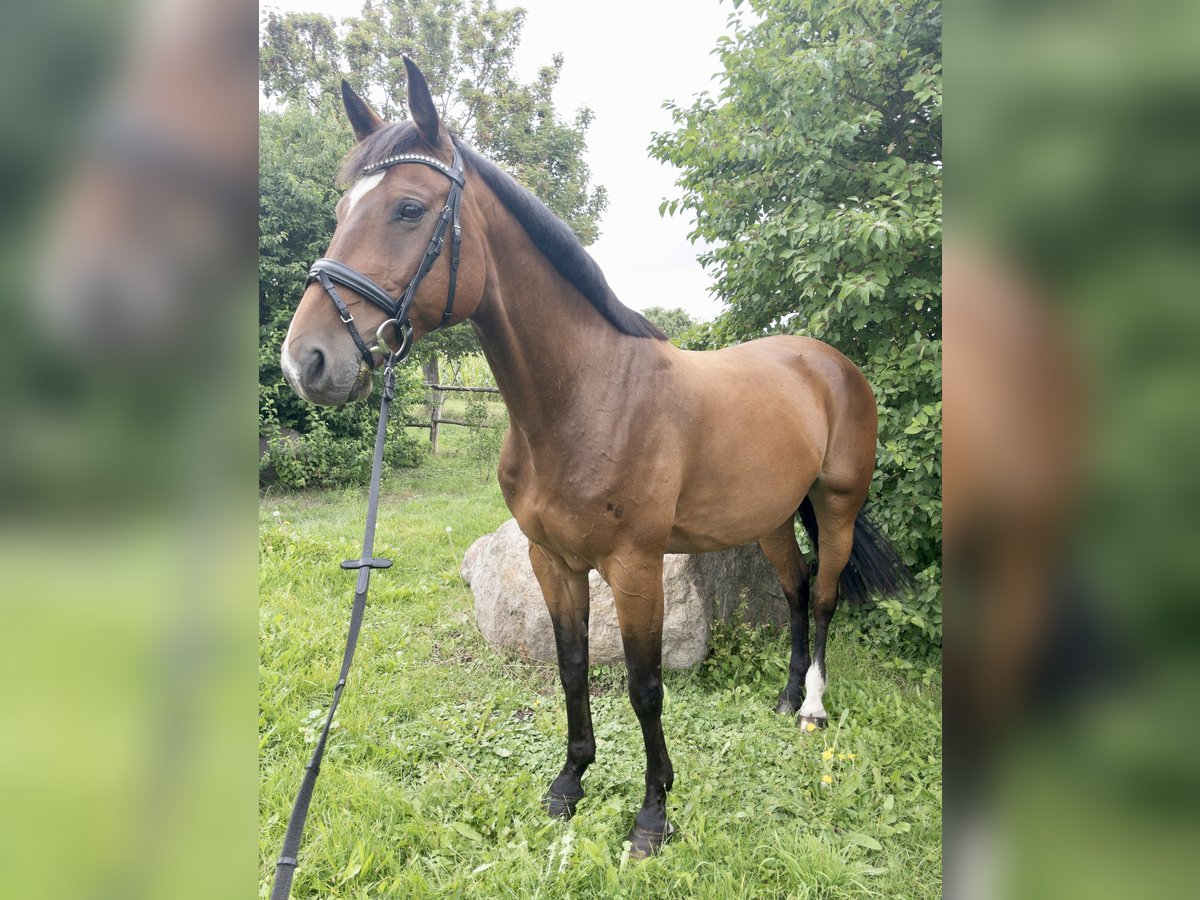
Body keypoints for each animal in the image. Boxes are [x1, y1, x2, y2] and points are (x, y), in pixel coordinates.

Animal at [283, 58, 907, 859]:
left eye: (409, 209)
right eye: (341, 208)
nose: (307, 360)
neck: (588, 397)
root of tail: (828, 362)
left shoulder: (636, 565)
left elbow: (644, 687)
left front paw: (652, 815)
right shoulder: (554, 559)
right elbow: (574, 667)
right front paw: (569, 783)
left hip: (837, 506)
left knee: (824, 597)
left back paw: (814, 710)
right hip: (769, 517)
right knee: (796, 593)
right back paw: (787, 695)